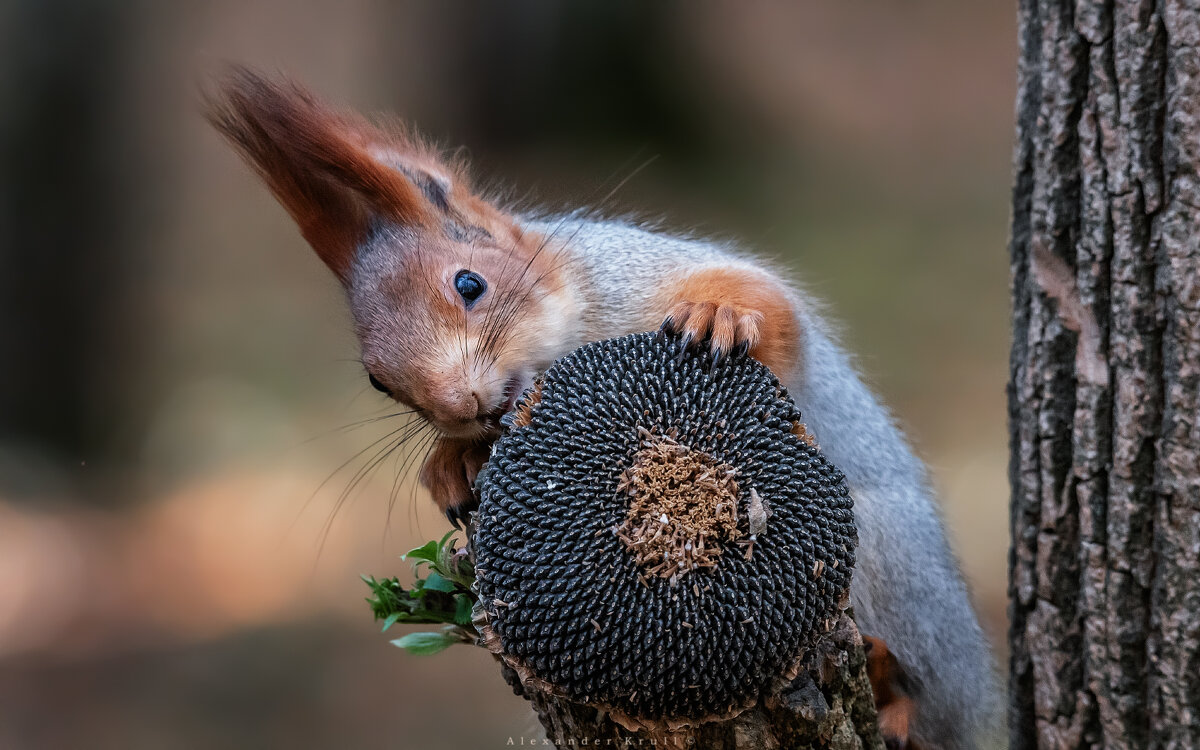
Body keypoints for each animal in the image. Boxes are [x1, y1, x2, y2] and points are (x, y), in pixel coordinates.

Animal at [206, 68, 1003, 748]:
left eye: (469, 284)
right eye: (378, 382)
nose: (460, 404)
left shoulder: (638, 273)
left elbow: (769, 306)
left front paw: (716, 312)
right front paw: (452, 461)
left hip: (892, 568)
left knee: (923, 687)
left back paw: (895, 692)